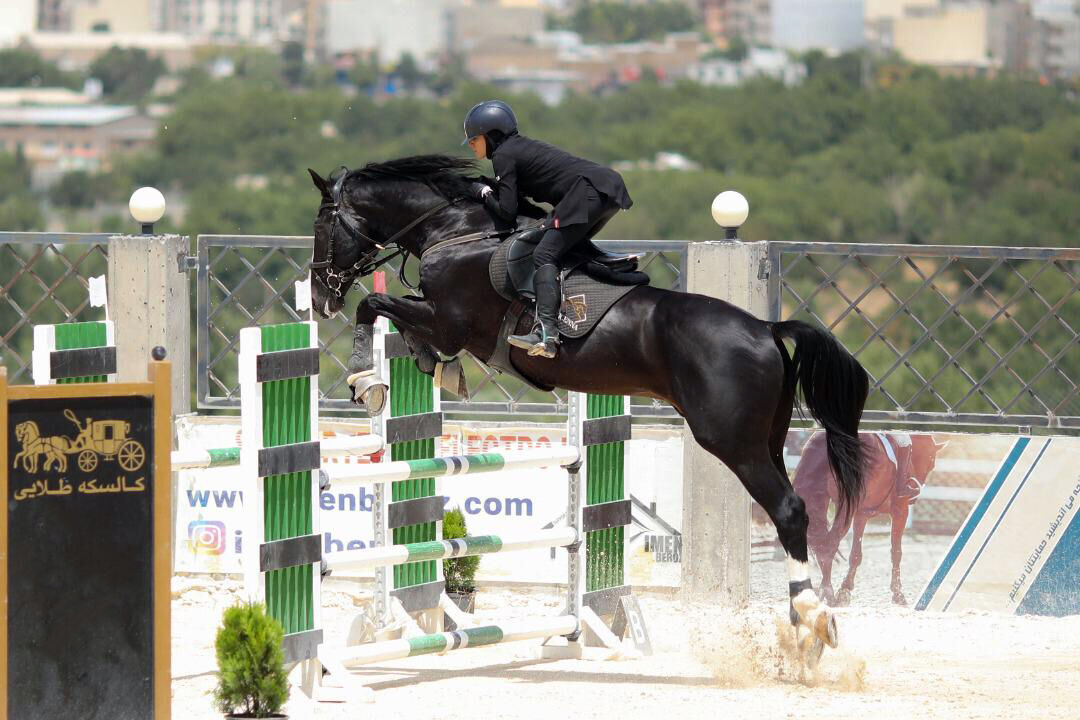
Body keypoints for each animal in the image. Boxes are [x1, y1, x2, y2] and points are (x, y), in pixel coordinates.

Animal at [306, 156, 868, 660]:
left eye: (323, 225)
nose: (319, 299)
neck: (456, 234)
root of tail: (768, 330)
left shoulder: (450, 323)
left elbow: (375, 306)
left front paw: (365, 378)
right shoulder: (442, 323)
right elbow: (400, 325)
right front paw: (429, 369)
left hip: (734, 443)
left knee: (788, 510)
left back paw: (811, 621)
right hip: (767, 441)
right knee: (793, 512)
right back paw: (803, 627)